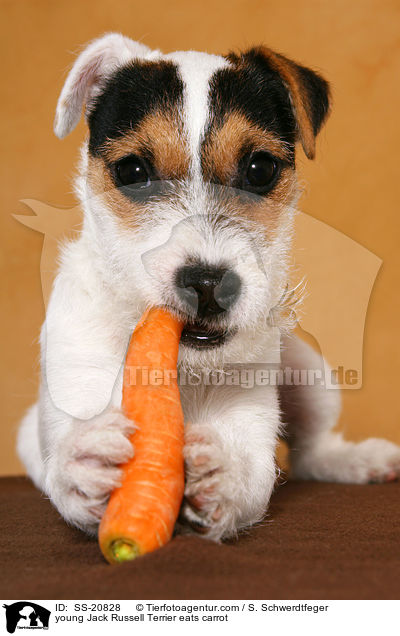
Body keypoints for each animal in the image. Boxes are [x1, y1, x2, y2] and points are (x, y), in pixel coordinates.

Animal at [17, 33, 400, 540]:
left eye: (259, 169)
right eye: (132, 172)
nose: (207, 284)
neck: (183, 369)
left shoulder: (249, 411)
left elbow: (255, 470)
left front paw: (225, 472)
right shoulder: (72, 384)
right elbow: (63, 454)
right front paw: (81, 465)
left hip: (306, 368)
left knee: (311, 450)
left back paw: (358, 459)